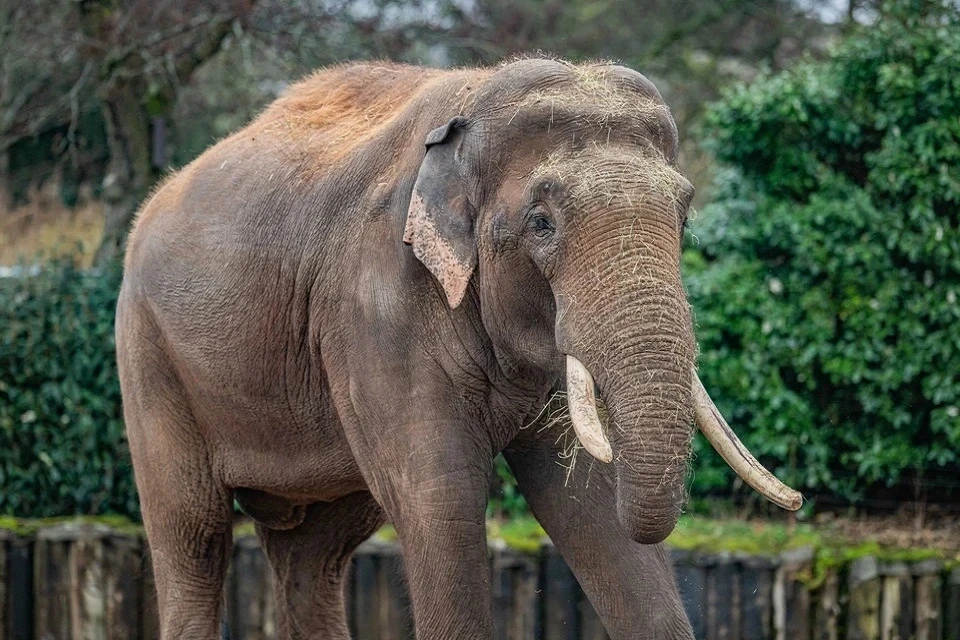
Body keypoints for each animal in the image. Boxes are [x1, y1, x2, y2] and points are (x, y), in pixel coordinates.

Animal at [115, 58, 801, 640]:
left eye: (684, 217)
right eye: (541, 223)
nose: (796, 501)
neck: (472, 103)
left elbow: (590, 501)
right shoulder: (375, 305)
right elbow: (440, 499)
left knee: (317, 552)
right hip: (148, 354)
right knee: (193, 533)